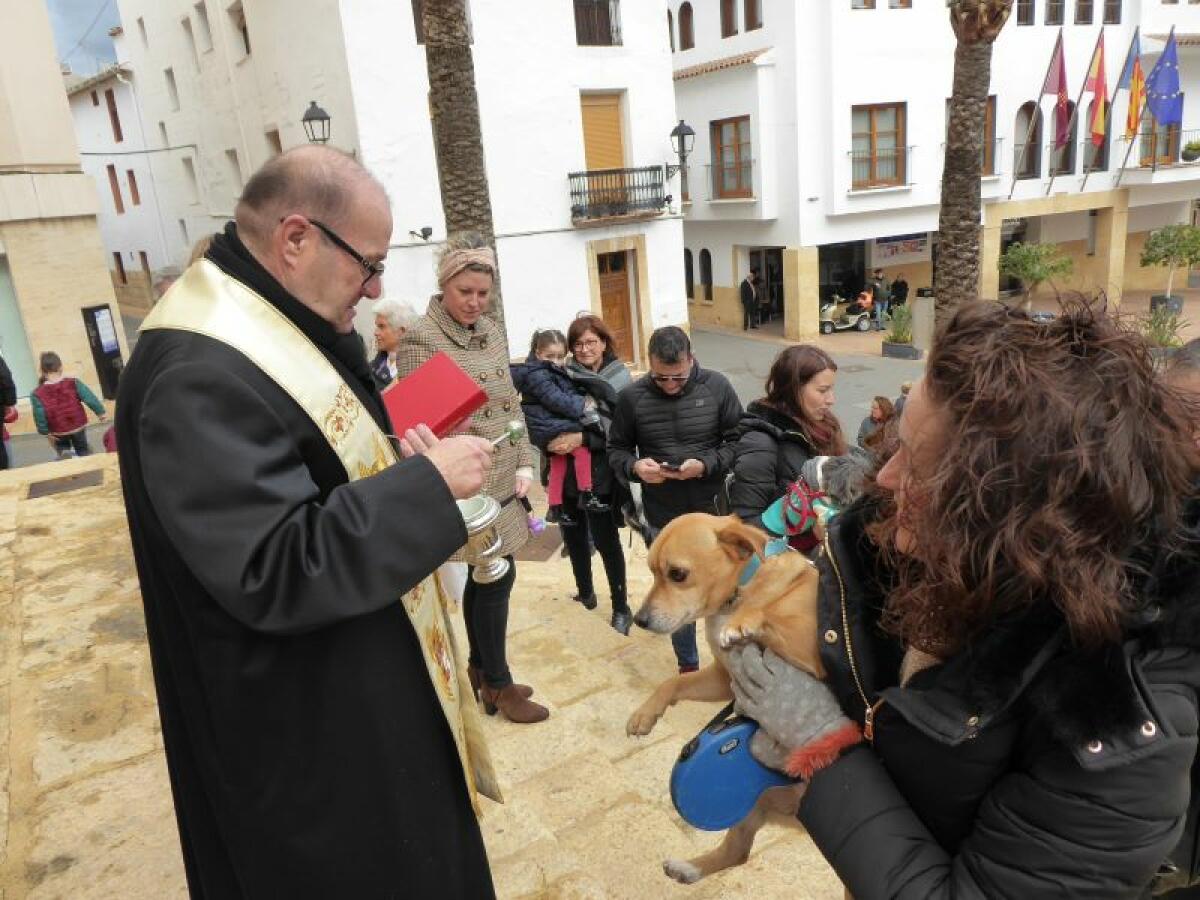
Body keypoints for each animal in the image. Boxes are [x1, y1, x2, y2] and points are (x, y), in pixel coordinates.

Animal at [628, 513, 825, 888]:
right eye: (651, 571)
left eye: (677, 574)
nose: (639, 620)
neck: (739, 594)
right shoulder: (723, 679)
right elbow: (673, 682)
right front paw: (645, 714)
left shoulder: (815, 650)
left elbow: (769, 617)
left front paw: (746, 622)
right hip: (753, 804)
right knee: (737, 853)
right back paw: (688, 869)